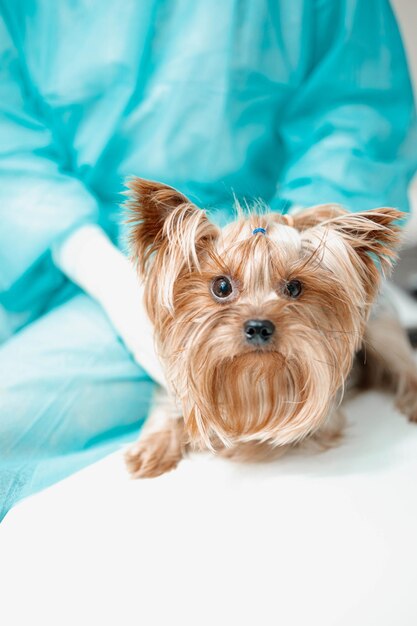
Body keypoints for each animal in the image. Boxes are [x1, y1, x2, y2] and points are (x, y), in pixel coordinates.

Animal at [123, 178, 416, 476]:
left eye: (294, 288)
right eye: (222, 286)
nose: (258, 327)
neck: (254, 378)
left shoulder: (320, 422)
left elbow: (270, 437)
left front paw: (230, 442)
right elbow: (171, 408)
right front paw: (153, 446)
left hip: (381, 329)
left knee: (404, 364)